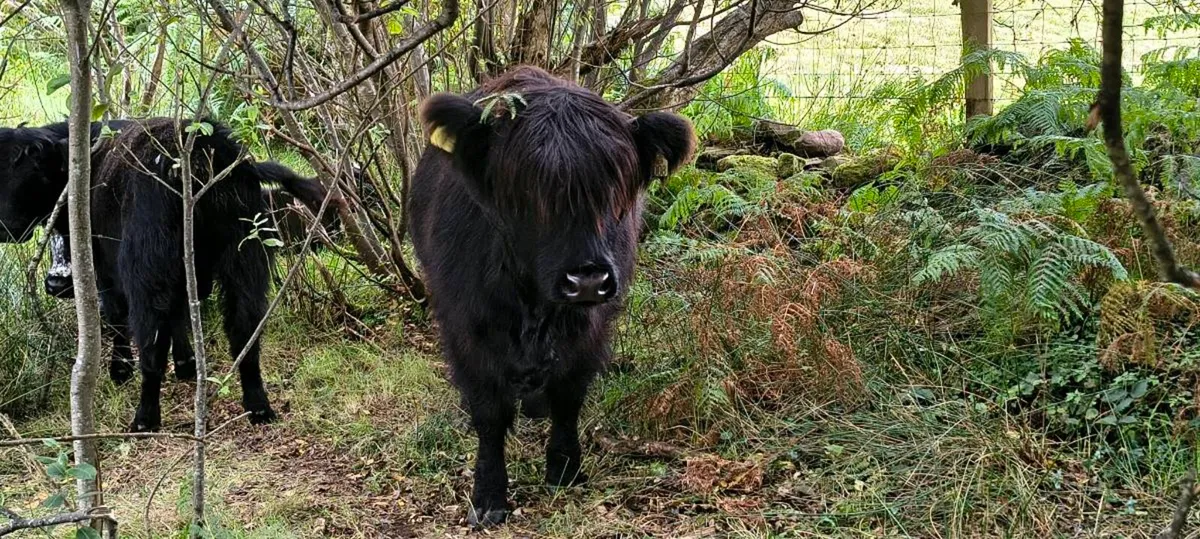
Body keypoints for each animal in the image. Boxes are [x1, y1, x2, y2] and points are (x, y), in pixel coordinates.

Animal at [0, 117, 328, 431]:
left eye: (31, 171)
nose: (56, 283)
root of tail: (208, 150)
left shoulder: (108, 275)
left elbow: (120, 320)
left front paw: (121, 370)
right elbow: (180, 314)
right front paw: (185, 363)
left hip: (148, 276)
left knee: (152, 346)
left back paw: (145, 417)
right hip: (245, 264)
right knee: (245, 333)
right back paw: (258, 407)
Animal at [408, 65, 695, 527]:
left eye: (615, 189)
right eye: (527, 191)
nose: (587, 281)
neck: (533, 307)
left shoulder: (591, 331)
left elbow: (568, 397)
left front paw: (565, 469)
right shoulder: (465, 328)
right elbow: (489, 413)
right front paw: (488, 495)